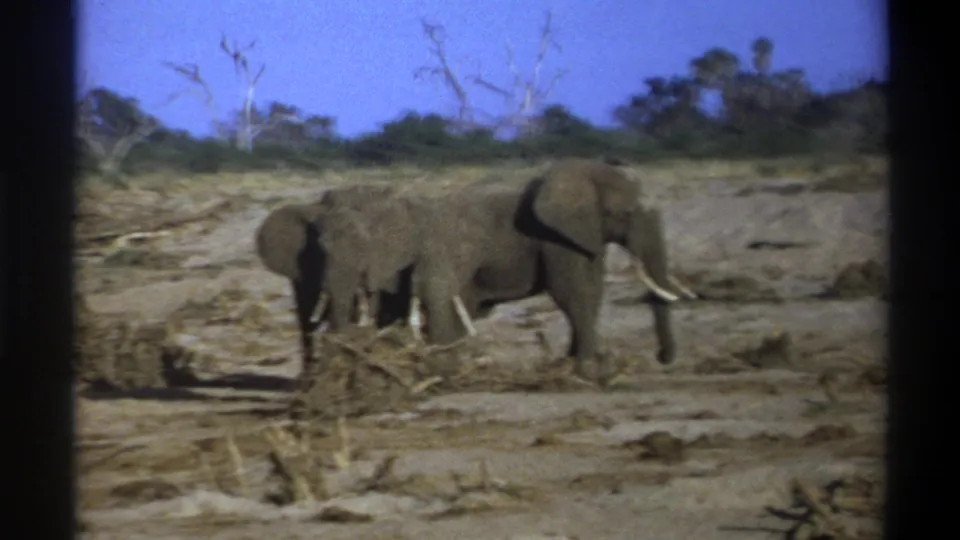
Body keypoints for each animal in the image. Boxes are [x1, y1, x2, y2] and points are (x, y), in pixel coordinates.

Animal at [377, 157, 695, 383]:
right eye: (627, 214)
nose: (662, 358)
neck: (586, 171)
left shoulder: (584, 234)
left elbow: (592, 289)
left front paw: (580, 364)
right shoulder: (554, 236)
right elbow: (573, 291)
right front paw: (590, 371)